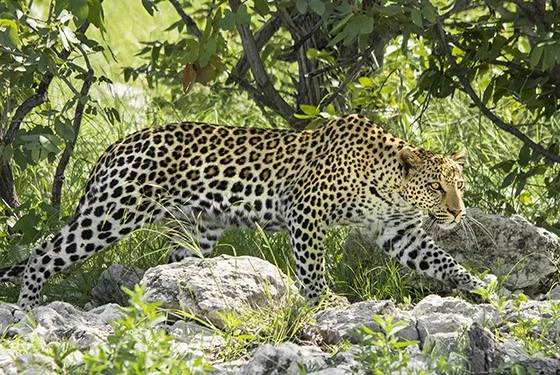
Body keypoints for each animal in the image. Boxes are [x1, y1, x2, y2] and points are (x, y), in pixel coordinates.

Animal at [0, 115, 488, 312]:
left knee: (168, 271)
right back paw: (27, 310)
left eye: (459, 185)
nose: (457, 212)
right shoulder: (305, 211)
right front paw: (326, 301)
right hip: (111, 215)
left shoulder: (398, 232)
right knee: (44, 252)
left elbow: (444, 261)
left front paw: (480, 288)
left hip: (196, 232)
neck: (390, 188)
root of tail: (115, 146)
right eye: (435, 186)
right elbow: (313, 268)